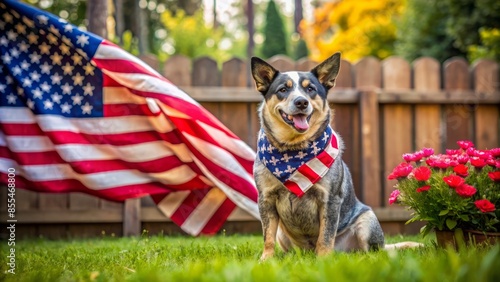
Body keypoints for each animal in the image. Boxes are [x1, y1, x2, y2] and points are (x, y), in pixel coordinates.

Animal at [250, 52, 418, 260]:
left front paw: (323, 259)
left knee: (371, 252)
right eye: (282, 89)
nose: (301, 102)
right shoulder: (266, 199)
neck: (293, 150)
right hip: (284, 235)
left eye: (311, 89)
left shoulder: (330, 199)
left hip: (367, 221)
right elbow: (268, 236)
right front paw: (266, 259)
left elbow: (326, 234)